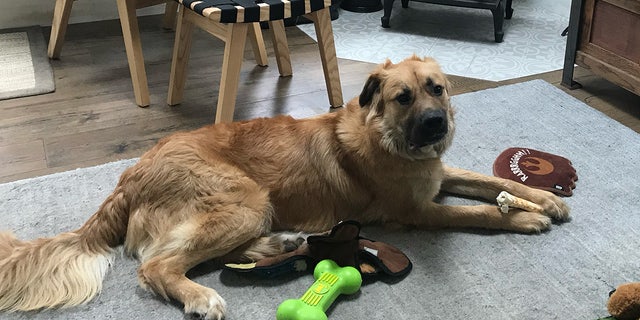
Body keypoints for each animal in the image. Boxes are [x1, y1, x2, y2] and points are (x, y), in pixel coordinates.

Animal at [0, 55, 568, 318]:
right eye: (403, 97)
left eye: (438, 89)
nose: (436, 125)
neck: (388, 137)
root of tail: (130, 174)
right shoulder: (420, 211)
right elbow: (480, 212)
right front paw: (525, 217)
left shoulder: (438, 174)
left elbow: (487, 179)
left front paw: (546, 198)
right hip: (245, 199)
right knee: (156, 266)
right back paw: (201, 296)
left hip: (250, 209)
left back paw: (280, 245)